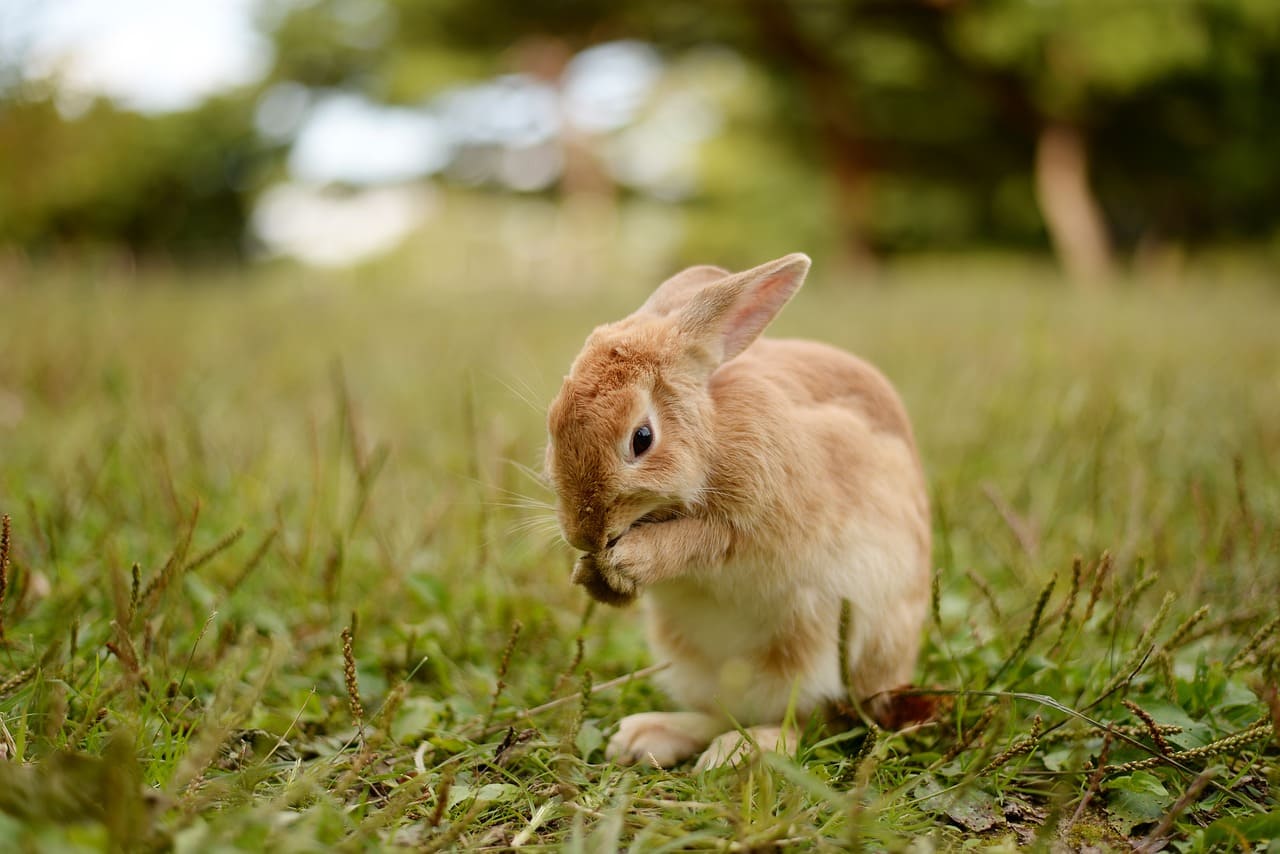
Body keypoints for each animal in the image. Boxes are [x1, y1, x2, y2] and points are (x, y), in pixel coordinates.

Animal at [542, 252, 931, 768]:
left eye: (642, 438)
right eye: (553, 423)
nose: (584, 534)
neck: (711, 432)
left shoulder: (751, 524)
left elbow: (700, 541)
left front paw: (627, 562)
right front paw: (591, 575)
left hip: (818, 644)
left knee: (808, 718)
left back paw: (738, 752)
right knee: (723, 711)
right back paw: (646, 737)